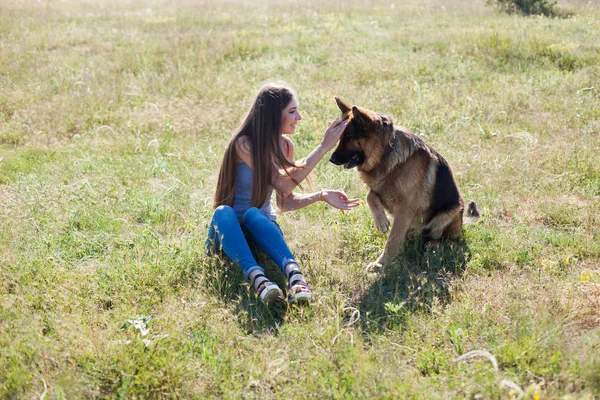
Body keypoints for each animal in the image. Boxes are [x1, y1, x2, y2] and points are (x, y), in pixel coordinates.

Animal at [328, 98, 478, 268]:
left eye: (348, 137)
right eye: (340, 137)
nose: (331, 159)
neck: (385, 153)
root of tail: (462, 224)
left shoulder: (404, 209)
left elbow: (392, 240)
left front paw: (380, 264)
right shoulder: (381, 190)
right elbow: (370, 195)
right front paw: (381, 222)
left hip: (449, 211)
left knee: (444, 239)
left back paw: (431, 244)